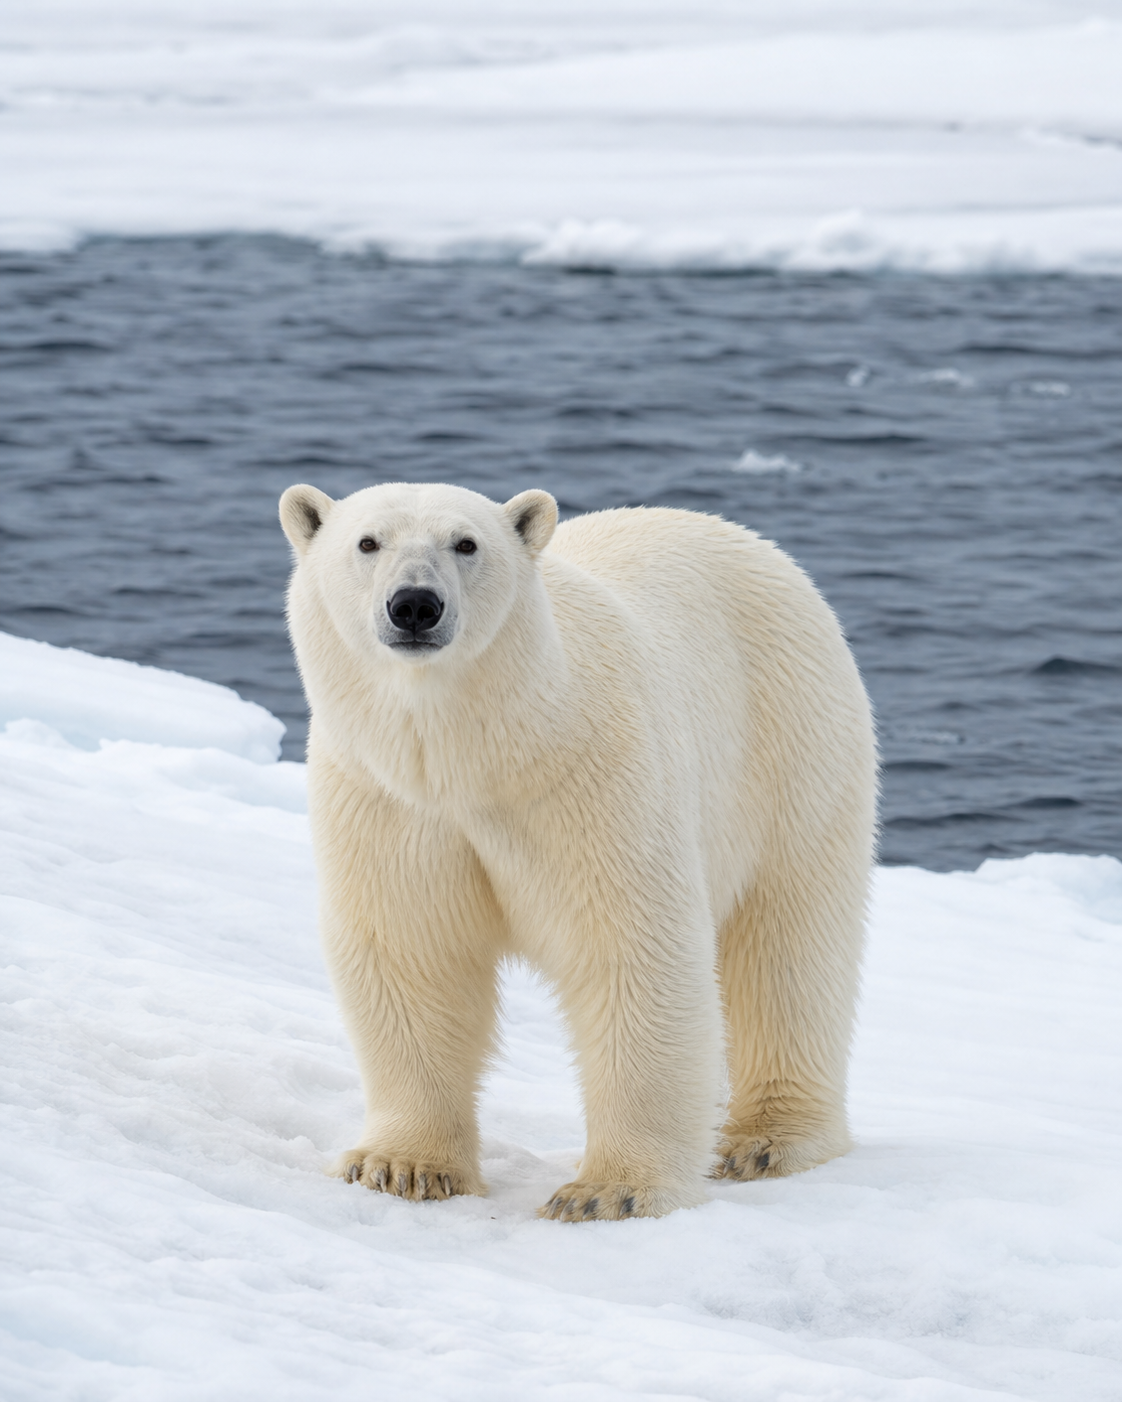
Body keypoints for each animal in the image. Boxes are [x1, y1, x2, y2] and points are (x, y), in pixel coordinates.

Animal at [280, 481, 877, 1221]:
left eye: (466, 543)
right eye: (368, 542)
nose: (415, 604)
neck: (481, 756)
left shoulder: (592, 779)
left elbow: (630, 948)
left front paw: (608, 1192)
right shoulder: (390, 803)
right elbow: (411, 952)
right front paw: (401, 1166)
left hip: (790, 746)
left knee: (789, 943)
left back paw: (769, 1141)